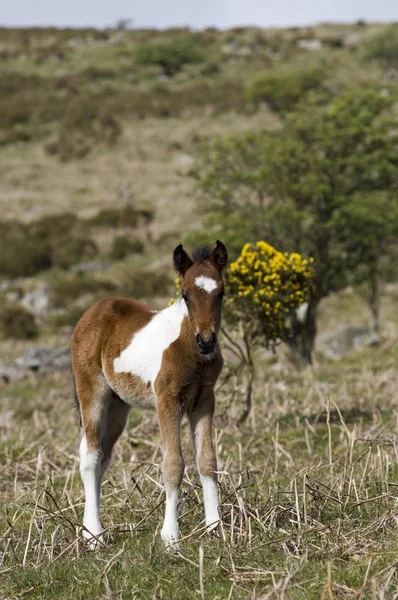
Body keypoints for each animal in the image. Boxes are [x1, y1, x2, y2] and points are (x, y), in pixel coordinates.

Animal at [70, 239, 227, 548]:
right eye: (185, 295)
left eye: (222, 293)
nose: (206, 341)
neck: (190, 351)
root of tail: (93, 312)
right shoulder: (167, 401)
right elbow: (173, 464)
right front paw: (170, 536)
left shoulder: (204, 400)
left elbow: (207, 460)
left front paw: (215, 527)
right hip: (92, 392)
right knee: (91, 456)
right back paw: (94, 534)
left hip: (119, 406)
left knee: (103, 457)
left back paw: (91, 528)